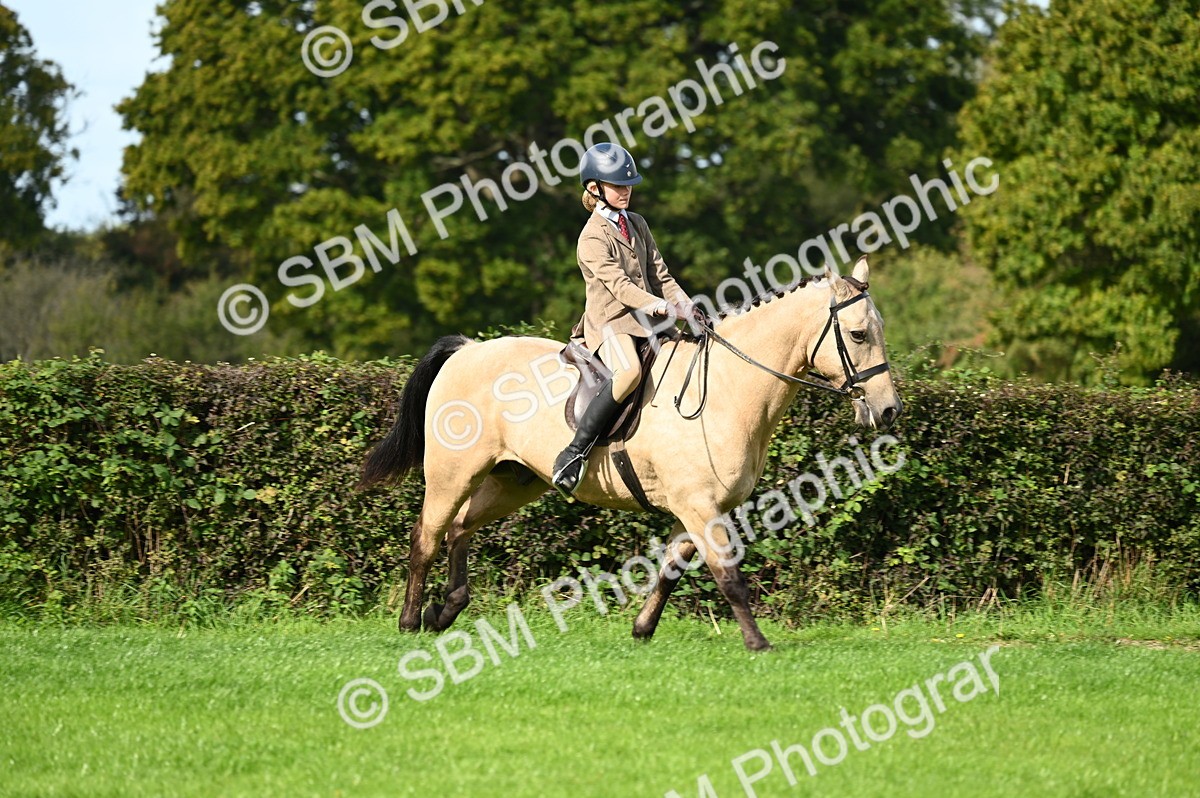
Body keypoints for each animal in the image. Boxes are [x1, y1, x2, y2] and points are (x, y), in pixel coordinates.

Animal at [359, 257, 901, 650]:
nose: (888, 410)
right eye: (858, 335)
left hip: (512, 481)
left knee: (459, 529)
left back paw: (445, 610)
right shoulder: (700, 507)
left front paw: (641, 631)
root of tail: (468, 349)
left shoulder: (695, 509)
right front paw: (758, 643)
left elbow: (670, 570)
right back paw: (410, 620)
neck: (728, 387)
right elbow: (728, 577)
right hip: (453, 474)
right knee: (427, 536)